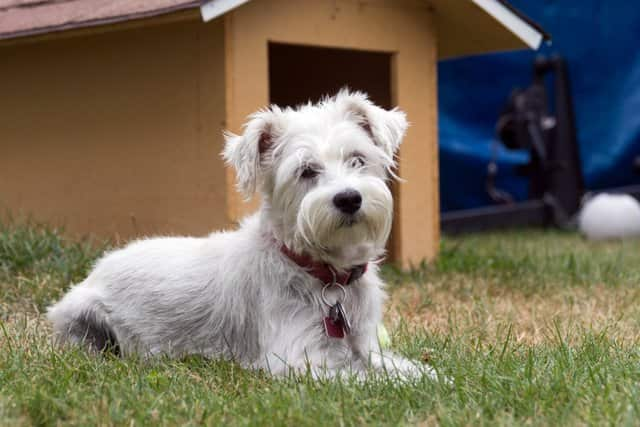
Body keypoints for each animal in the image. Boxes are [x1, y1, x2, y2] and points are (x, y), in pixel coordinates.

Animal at [47, 90, 432, 382]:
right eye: (306, 170)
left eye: (357, 159)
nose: (349, 198)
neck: (323, 273)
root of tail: (97, 269)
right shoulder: (300, 358)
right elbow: (368, 380)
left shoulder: (367, 345)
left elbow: (411, 371)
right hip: (82, 315)